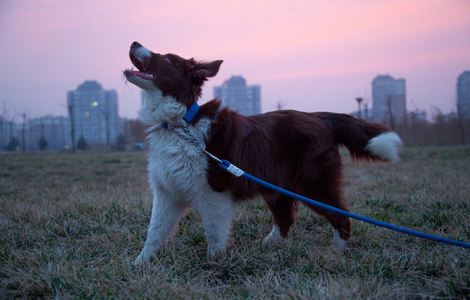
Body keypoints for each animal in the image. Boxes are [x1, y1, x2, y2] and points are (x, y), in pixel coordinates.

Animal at [123, 41, 402, 264]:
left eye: (167, 58)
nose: (134, 42)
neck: (179, 124)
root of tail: (320, 117)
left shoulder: (213, 193)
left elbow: (214, 234)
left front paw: (214, 265)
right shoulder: (167, 192)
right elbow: (154, 232)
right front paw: (139, 264)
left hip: (312, 184)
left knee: (341, 217)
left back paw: (336, 254)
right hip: (277, 185)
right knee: (285, 219)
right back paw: (269, 246)